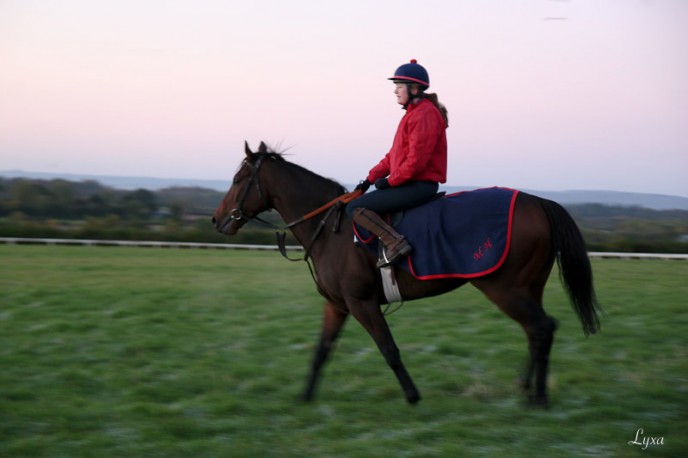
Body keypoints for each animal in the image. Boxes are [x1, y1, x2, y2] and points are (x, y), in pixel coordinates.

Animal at [212, 141, 600, 406]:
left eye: (237, 178)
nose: (217, 220)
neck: (331, 231)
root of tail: (538, 202)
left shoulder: (362, 302)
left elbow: (389, 348)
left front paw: (413, 395)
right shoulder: (337, 304)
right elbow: (321, 350)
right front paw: (305, 396)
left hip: (504, 288)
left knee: (541, 327)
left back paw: (538, 399)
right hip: (527, 287)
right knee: (537, 331)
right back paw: (527, 388)